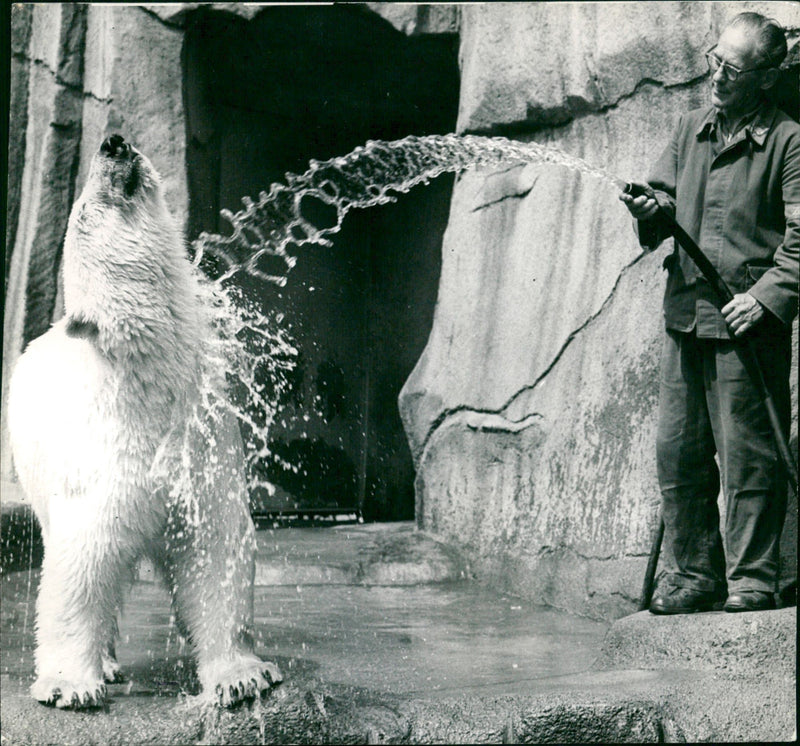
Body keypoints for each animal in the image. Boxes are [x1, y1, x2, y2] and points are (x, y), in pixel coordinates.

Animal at [7, 135, 282, 708]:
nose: (113, 142)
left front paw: (241, 676)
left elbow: (215, 549)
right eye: (87, 210)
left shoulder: (203, 441)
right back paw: (109, 662)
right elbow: (82, 563)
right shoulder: (103, 462)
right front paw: (70, 684)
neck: (148, 388)